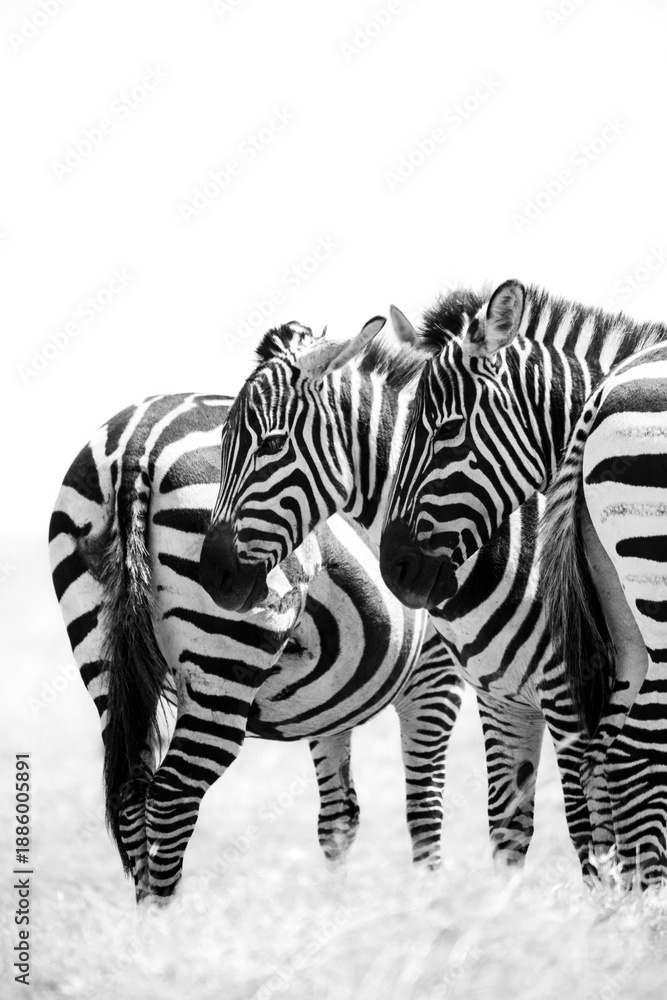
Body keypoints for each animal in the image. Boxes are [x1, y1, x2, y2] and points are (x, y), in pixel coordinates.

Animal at [49, 388, 463, 902]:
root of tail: (137, 440)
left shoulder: (330, 695)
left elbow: (339, 818)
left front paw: (335, 911)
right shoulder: (436, 672)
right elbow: (425, 807)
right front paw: (431, 903)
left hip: (103, 657)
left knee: (131, 795)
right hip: (225, 654)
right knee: (171, 798)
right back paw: (169, 923)